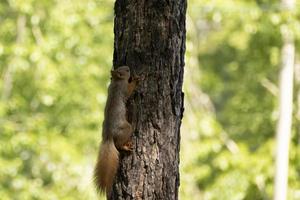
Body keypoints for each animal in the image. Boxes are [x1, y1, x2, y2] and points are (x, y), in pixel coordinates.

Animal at [94, 66, 141, 198]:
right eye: (125, 70)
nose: (129, 67)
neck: (116, 81)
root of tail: (108, 136)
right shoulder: (124, 89)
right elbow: (130, 90)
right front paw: (136, 80)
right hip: (127, 129)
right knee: (119, 144)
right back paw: (126, 146)